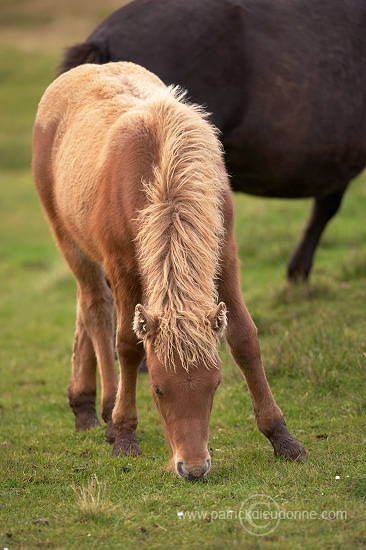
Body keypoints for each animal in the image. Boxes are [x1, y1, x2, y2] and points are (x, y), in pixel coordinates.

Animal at [33, 62, 306, 480]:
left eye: (215, 385)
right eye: (159, 389)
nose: (192, 468)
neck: (166, 170)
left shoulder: (224, 256)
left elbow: (245, 338)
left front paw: (282, 437)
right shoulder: (122, 266)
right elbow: (127, 345)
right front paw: (125, 436)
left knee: (86, 308)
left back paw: (83, 407)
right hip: (68, 240)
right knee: (95, 308)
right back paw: (106, 413)